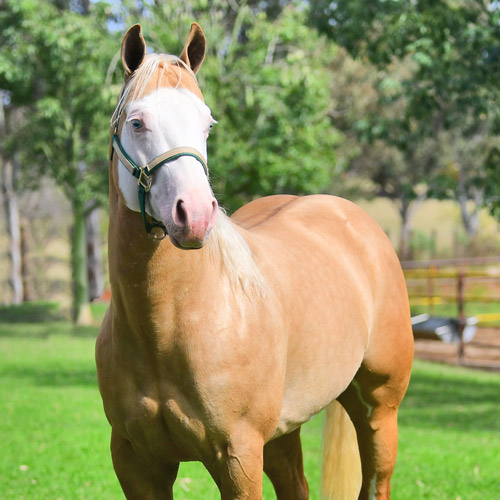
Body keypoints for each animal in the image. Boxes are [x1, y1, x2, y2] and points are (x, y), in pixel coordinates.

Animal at [94, 21, 414, 498]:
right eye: (137, 122)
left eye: (207, 123)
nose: (194, 214)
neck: (171, 325)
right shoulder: (136, 462)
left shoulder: (239, 456)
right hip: (284, 431)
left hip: (379, 409)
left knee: (376, 478)